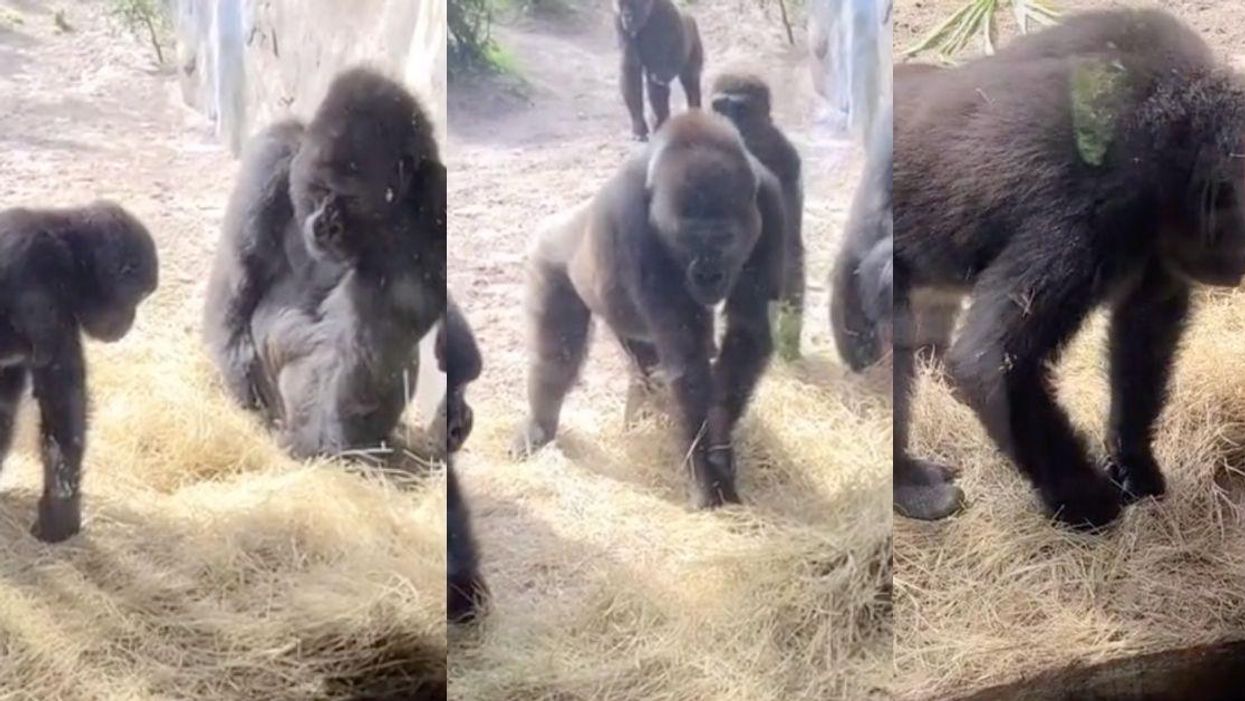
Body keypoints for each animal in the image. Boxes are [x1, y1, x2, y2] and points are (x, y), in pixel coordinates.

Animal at [203, 66, 447, 459]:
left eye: (352, 199)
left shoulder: (436, 198)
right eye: (319, 189)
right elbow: (239, 279)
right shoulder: (272, 154)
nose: (325, 226)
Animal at [510, 111, 786, 509]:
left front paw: (720, 447)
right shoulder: (631, 221)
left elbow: (746, 332)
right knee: (555, 361)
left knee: (643, 368)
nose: (708, 273)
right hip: (549, 254)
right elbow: (688, 361)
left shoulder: (771, 202)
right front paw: (707, 476)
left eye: (725, 238)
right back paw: (539, 427)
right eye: (687, 238)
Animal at [614, 0, 705, 142]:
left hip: (695, 36)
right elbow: (631, 69)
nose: (627, 16)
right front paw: (638, 126)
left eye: (633, 4)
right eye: (621, 5)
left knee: (690, 82)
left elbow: (676, 49)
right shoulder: (618, 19)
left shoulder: (669, 11)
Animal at [893, 9, 1245, 528]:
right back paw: (908, 482)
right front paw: (1086, 501)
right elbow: (994, 359)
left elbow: (1145, 328)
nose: (1234, 271)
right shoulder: (1094, 206)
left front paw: (1134, 461)